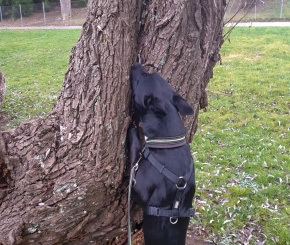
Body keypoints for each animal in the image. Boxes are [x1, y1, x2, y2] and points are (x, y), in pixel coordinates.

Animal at [128, 63, 196, 245]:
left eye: (143, 77)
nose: (136, 64)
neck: (169, 142)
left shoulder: (137, 188)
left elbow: (133, 158)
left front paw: (132, 129)